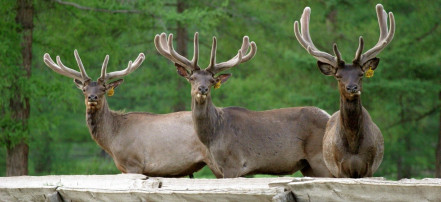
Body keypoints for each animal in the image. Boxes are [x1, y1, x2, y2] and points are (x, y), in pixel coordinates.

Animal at [153, 32, 332, 178]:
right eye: (192, 78)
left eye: (212, 81)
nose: (202, 89)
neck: (213, 135)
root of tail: (329, 116)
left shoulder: (233, 163)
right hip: (308, 166)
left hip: (320, 159)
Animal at [294, 3, 394, 178]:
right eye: (338, 76)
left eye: (361, 74)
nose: (352, 87)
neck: (353, 148)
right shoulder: (340, 168)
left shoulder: (369, 167)